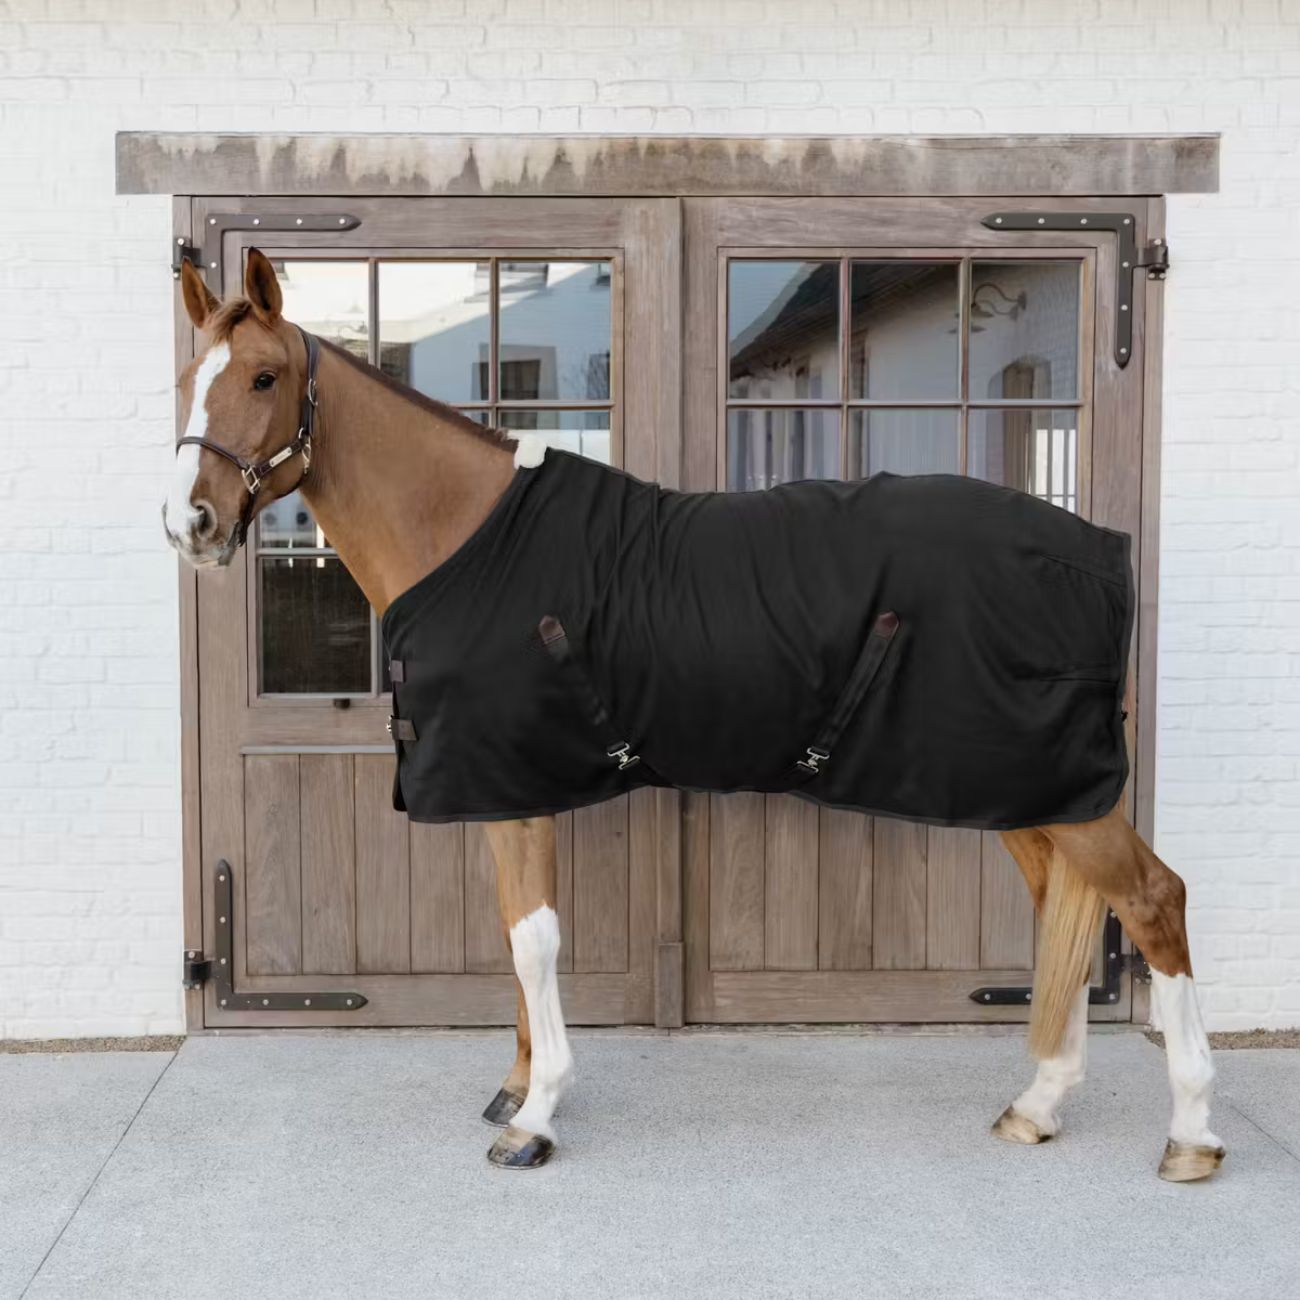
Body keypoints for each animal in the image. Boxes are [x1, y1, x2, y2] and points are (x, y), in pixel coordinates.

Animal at [164, 249, 1224, 1182]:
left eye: (263, 376)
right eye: (186, 377)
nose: (192, 524)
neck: (468, 537)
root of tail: (1095, 550)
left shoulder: (514, 787)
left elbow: (534, 942)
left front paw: (535, 1119)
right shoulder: (502, 787)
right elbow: (513, 935)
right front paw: (514, 1088)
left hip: (1064, 790)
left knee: (1152, 900)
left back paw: (1191, 1135)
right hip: (1028, 791)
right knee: (1066, 911)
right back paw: (1037, 1104)